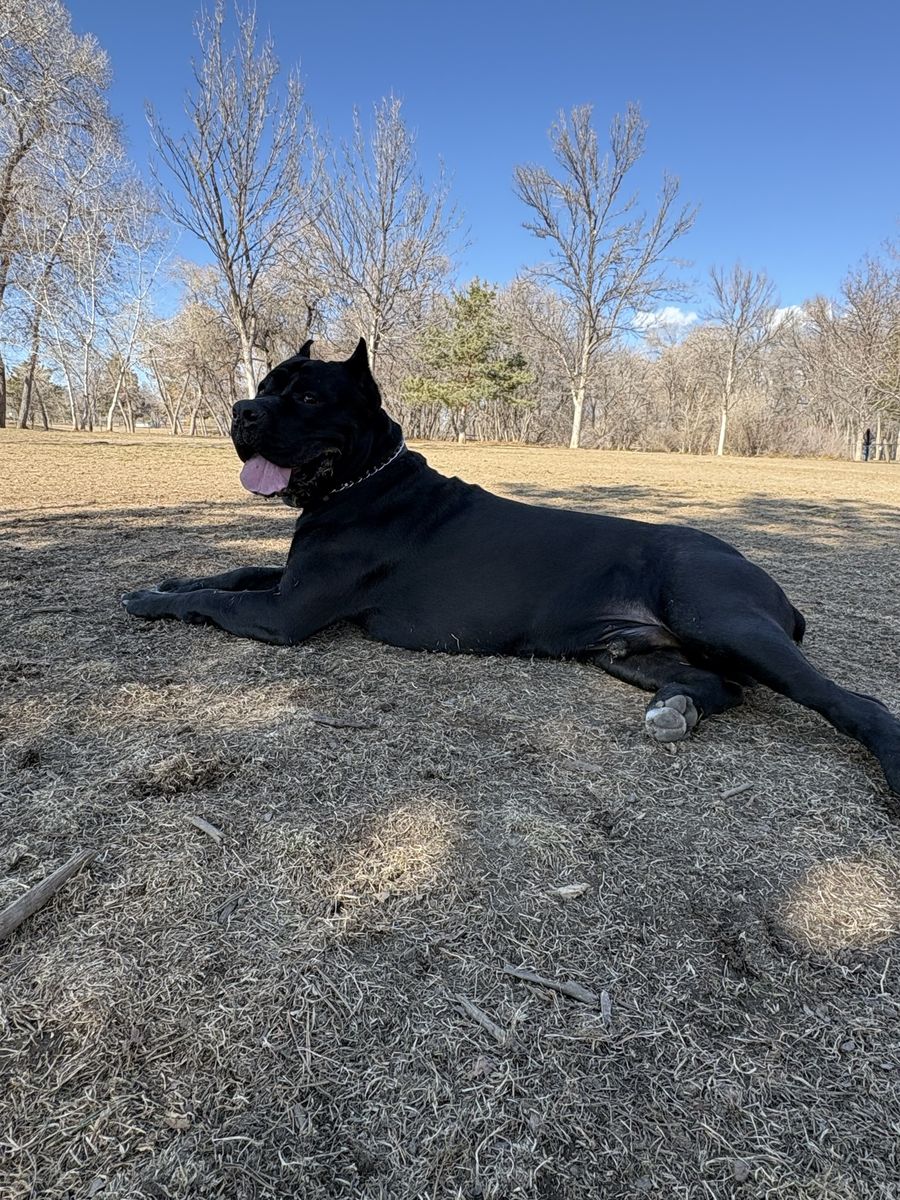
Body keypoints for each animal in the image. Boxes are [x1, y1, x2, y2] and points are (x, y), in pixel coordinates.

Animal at [123, 339, 900, 801]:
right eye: (263, 384)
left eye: (308, 396)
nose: (241, 410)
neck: (362, 478)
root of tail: (769, 582)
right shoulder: (286, 583)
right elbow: (229, 574)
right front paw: (168, 581)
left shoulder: (289, 611)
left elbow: (219, 601)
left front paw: (147, 601)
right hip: (627, 651)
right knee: (713, 686)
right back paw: (674, 711)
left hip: (724, 616)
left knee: (853, 701)